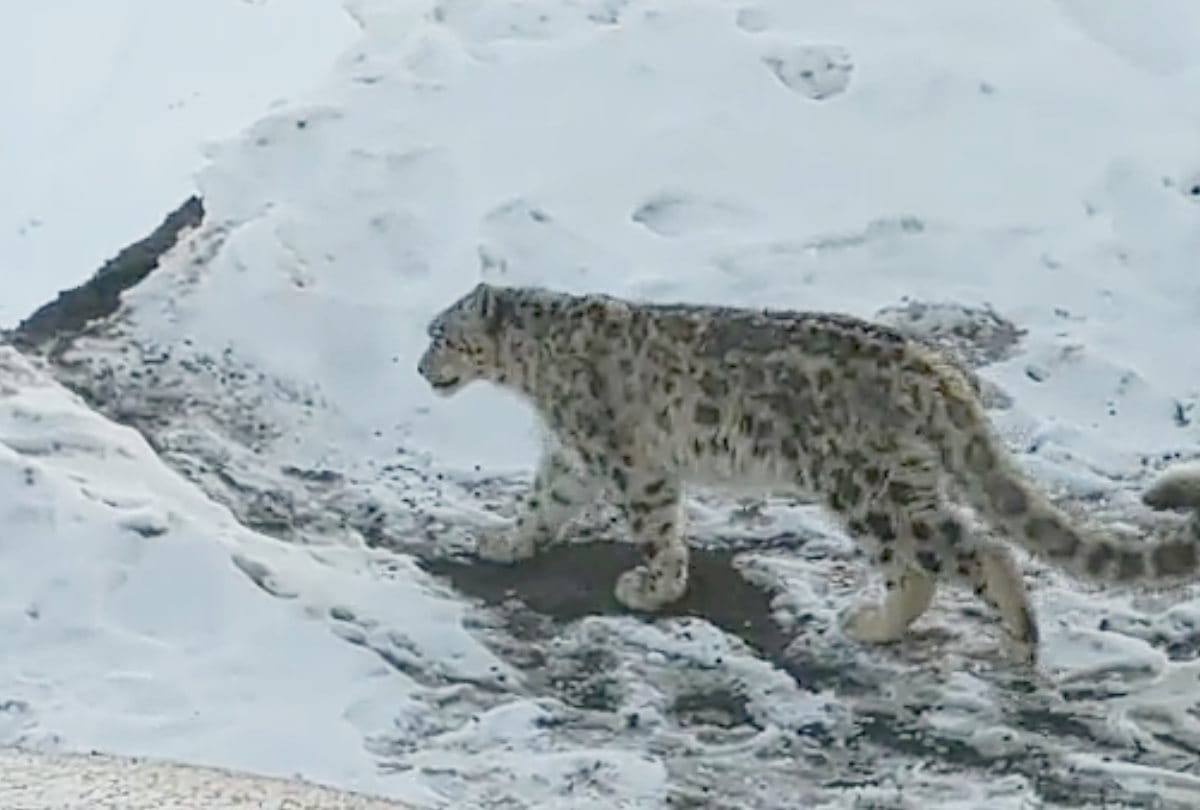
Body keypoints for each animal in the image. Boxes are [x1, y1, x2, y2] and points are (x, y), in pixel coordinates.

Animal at [416, 282, 1200, 665]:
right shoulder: (573, 459)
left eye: (441, 334)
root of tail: (940, 370)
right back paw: (886, 625)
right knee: (929, 562)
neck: (532, 370)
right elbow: (540, 503)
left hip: (867, 488)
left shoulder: (629, 462)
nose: (421, 367)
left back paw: (993, 635)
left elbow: (657, 527)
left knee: (967, 551)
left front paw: (653, 587)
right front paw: (505, 541)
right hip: (893, 484)